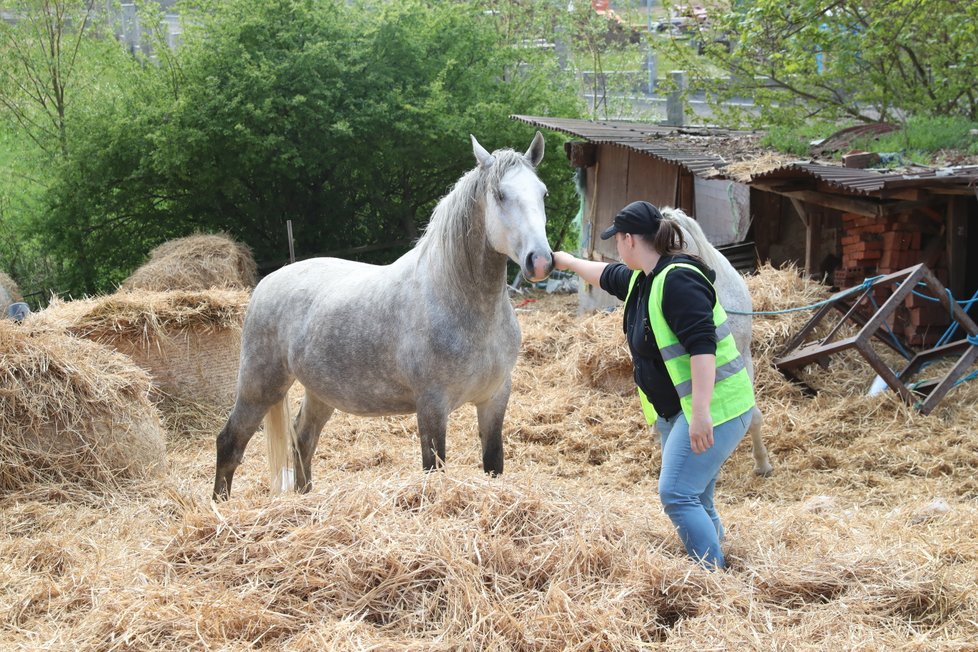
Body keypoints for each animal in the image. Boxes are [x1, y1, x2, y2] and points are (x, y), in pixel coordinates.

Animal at [213, 134, 548, 500]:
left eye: (543, 193)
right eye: (500, 195)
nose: (541, 261)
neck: (461, 302)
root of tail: (267, 282)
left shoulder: (494, 399)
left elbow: (493, 463)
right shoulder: (432, 405)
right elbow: (433, 468)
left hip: (319, 392)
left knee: (302, 441)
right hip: (260, 386)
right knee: (230, 442)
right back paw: (220, 506)